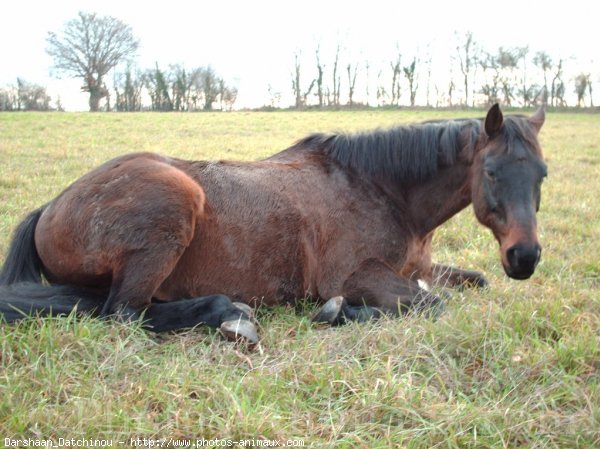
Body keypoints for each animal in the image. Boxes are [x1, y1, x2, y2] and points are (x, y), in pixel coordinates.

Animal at [0, 105, 548, 344]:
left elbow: (470, 282)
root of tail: (51, 206)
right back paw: (230, 315)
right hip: (174, 207)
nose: (524, 258)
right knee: (124, 315)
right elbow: (432, 305)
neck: (382, 189)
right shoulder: (355, 277)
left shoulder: (421, 269)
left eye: (542, 173)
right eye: (492, 172)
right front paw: (337, 312)